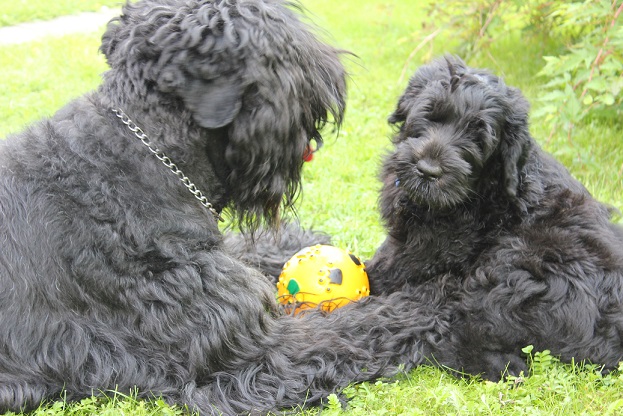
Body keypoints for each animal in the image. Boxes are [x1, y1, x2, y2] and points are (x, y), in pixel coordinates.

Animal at [0, 0, 431, 413]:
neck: (132, 161)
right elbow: (352, 324)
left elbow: (253, 252)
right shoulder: (254, 351)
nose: (335, 77)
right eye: (279, 52)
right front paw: (428, 306)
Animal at [365, 55, 623, 380]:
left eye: (478, 137)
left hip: (519, 263)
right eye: (429, 114)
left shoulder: (430, 253)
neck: (482, 191)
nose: (428, 171)